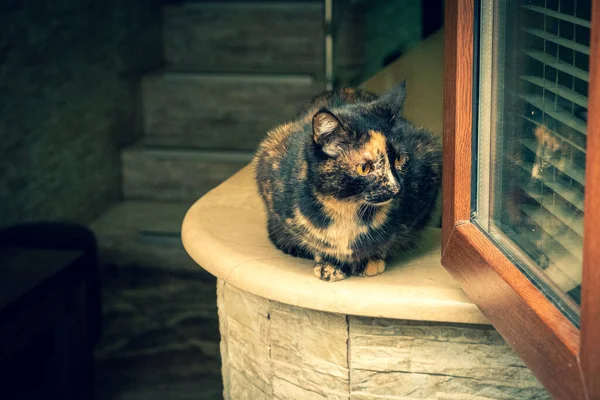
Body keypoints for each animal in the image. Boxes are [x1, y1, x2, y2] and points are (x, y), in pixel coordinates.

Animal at [253, 83, 440, 282]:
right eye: (364, 168)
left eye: (399, 159)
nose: (395, 188)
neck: (347, 207)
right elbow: (316, 243)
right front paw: (329, 265)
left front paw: (370, 261)